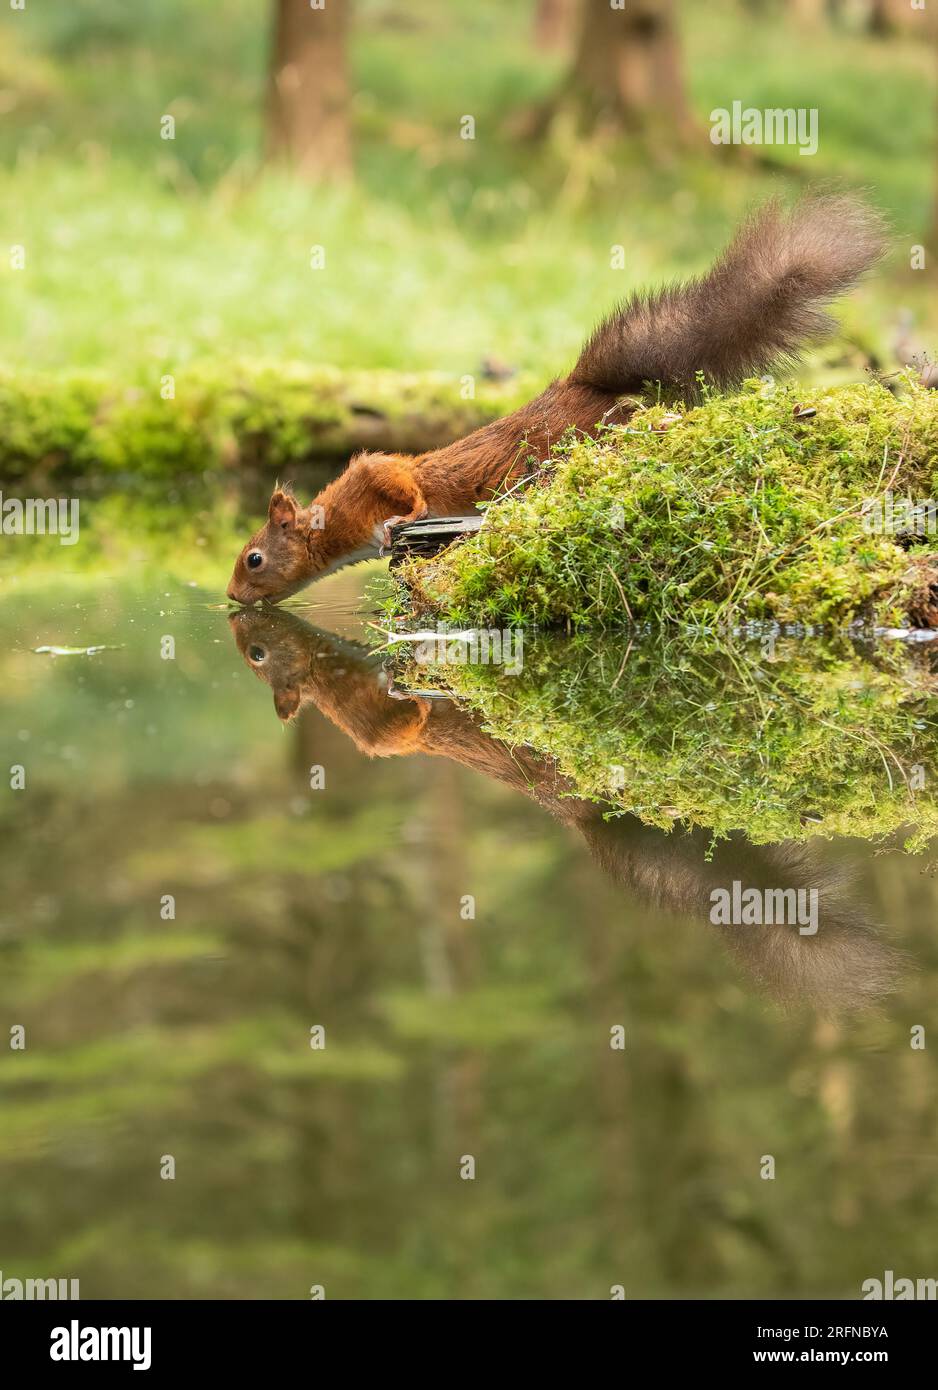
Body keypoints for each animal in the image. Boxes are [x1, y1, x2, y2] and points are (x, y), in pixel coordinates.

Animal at [227, 195, 889, 603]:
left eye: (254, 558)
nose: (230, 598)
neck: (331, 527)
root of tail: (582, 387)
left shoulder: (371, 477)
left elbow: (400, 482)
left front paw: (404, 522)